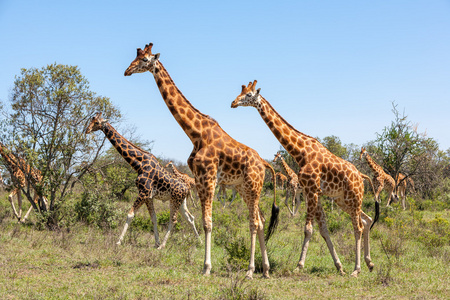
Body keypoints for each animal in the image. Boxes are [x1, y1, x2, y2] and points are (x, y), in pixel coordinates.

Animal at [85, 112, 200, 248]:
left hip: (175, 200)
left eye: (97, 123)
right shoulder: (148, 196)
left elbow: (130, 214)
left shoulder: (143, 192)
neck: (139, 165)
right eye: (91, 120)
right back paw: (199, 242)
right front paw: (156, 242)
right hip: (180, 201)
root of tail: (186, 188)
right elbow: (154, 218)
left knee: (174, 219)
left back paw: (163, 246)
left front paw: (118, 242)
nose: (87, 130)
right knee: (190, 218)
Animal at [124, 42, 278, 278]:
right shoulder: (198, 179)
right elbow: (201, 220)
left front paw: (206, 267)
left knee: (253, 222)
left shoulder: (208, 178)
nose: (127, 71)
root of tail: (264, 163)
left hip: (253, 185)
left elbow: (208, 223)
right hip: (244, 187)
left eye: (145, 60)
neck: (196, 133)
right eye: (136, 57)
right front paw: (206, 264)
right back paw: (266, 270)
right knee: (260, 221)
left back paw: (251, 270)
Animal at [230, 81, 378, 278]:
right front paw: (339, 266)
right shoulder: (313, 192)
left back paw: (357, 269)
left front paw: (299, 266)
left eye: (248, 95)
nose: (233, 103)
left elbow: (308, 229)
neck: (301, 152)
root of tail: (361, 176)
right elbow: (323, 229)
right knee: (367, 220)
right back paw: (369, 264)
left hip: (353, 197)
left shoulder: (312, 190)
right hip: (343, 200)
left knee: (358, 227)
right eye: (241, 92)